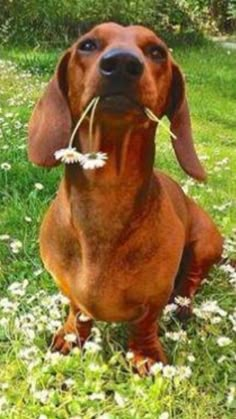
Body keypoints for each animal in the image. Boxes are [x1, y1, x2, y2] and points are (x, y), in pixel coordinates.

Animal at [27, 23, 223, 376]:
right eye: (87, 45)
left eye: (157, 51)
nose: (121, 63)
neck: (108, 196)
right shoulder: (68, 289)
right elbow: (78, 311)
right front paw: (70, 337)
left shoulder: (154, 297)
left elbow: (145, 323)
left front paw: (145, 355)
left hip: (206, 244)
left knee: (191, 280)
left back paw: (183, 307)